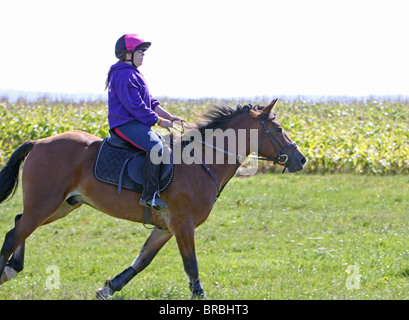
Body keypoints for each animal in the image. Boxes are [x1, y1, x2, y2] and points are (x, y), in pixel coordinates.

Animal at [0, 99, 304, 298]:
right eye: (278, 130)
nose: (301, 159)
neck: (202, 162)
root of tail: (39, 142)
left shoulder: (165, 227)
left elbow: (142, 260)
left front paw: (109, 287)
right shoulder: (183, 224)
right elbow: (191, 266)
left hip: (62, 205)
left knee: (18, 223)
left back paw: (12, 268)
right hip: (45, 204)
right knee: (15, 233)